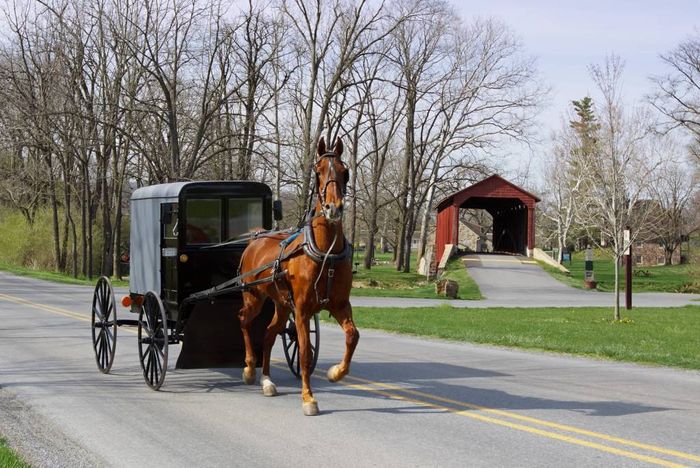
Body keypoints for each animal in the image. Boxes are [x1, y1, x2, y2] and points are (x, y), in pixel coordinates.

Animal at [239, 136, 360, 416]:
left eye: (345, 171)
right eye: (318, 171)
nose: (334, 208)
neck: (325, 252)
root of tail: (256, 238)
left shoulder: (340, 304)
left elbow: (352, 336)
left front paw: (336, 373)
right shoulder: (303, 309)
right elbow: (305, 352)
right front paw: (308, 397)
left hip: (282, 305)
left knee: (269, 334)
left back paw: (267, 381)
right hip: (254, 297)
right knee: (244, 321)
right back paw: (250, 368)